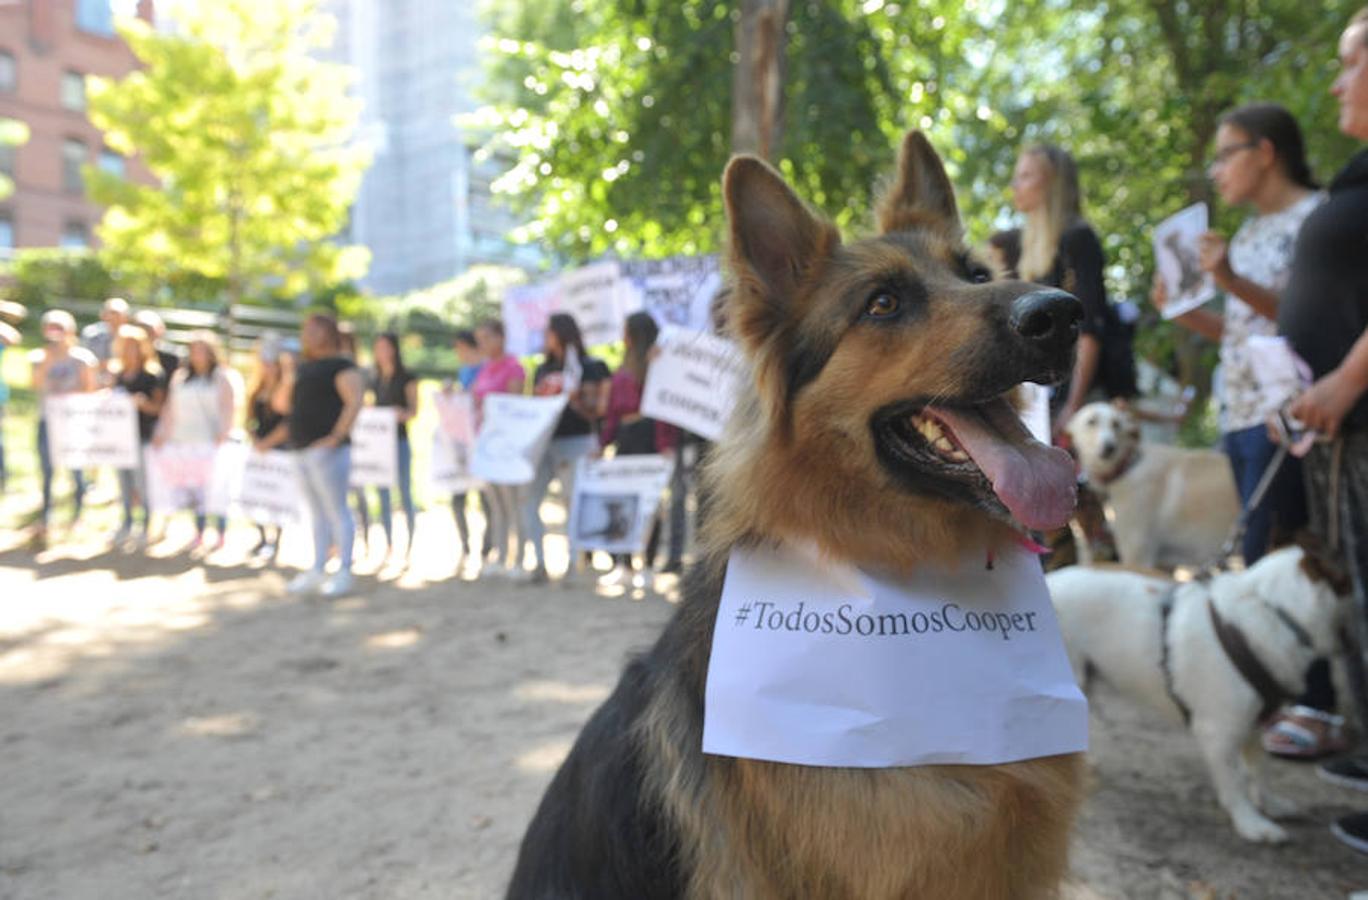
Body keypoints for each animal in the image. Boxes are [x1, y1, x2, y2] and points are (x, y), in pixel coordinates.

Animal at [1045, 538, 1346, 842]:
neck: (1273, 611)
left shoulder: (1255, 725)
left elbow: (1261, 769)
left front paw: (1270, 804)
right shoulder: (1218, 735)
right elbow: (1234, 784)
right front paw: (1250, 822)